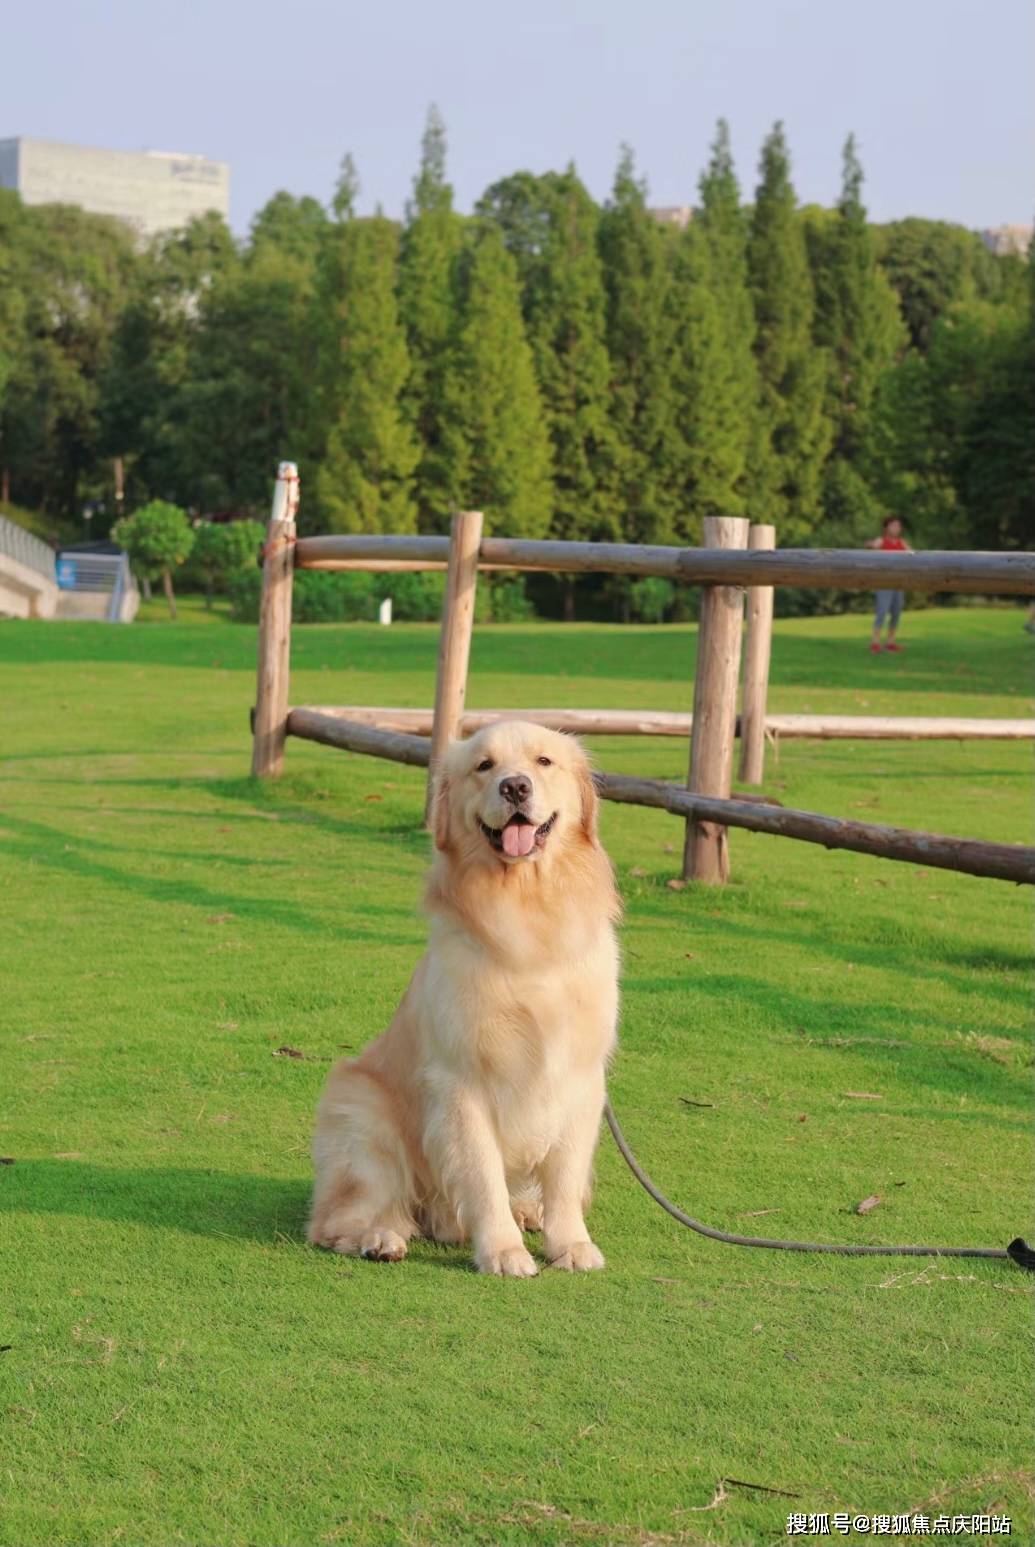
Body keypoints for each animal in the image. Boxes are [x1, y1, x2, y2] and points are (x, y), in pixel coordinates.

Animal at [303, 717, 618, 1274]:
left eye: (543, 761)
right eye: (484, 766)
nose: (515, 787)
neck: (527, 909)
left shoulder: (581, 1078)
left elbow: (564, 1177)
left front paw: (570, 1244)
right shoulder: (461, 1082)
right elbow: (482, 1177)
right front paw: (503, 1252)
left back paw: (528, 1212)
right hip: (361, 1112)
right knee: (341, 1219)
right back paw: (380, 1238)